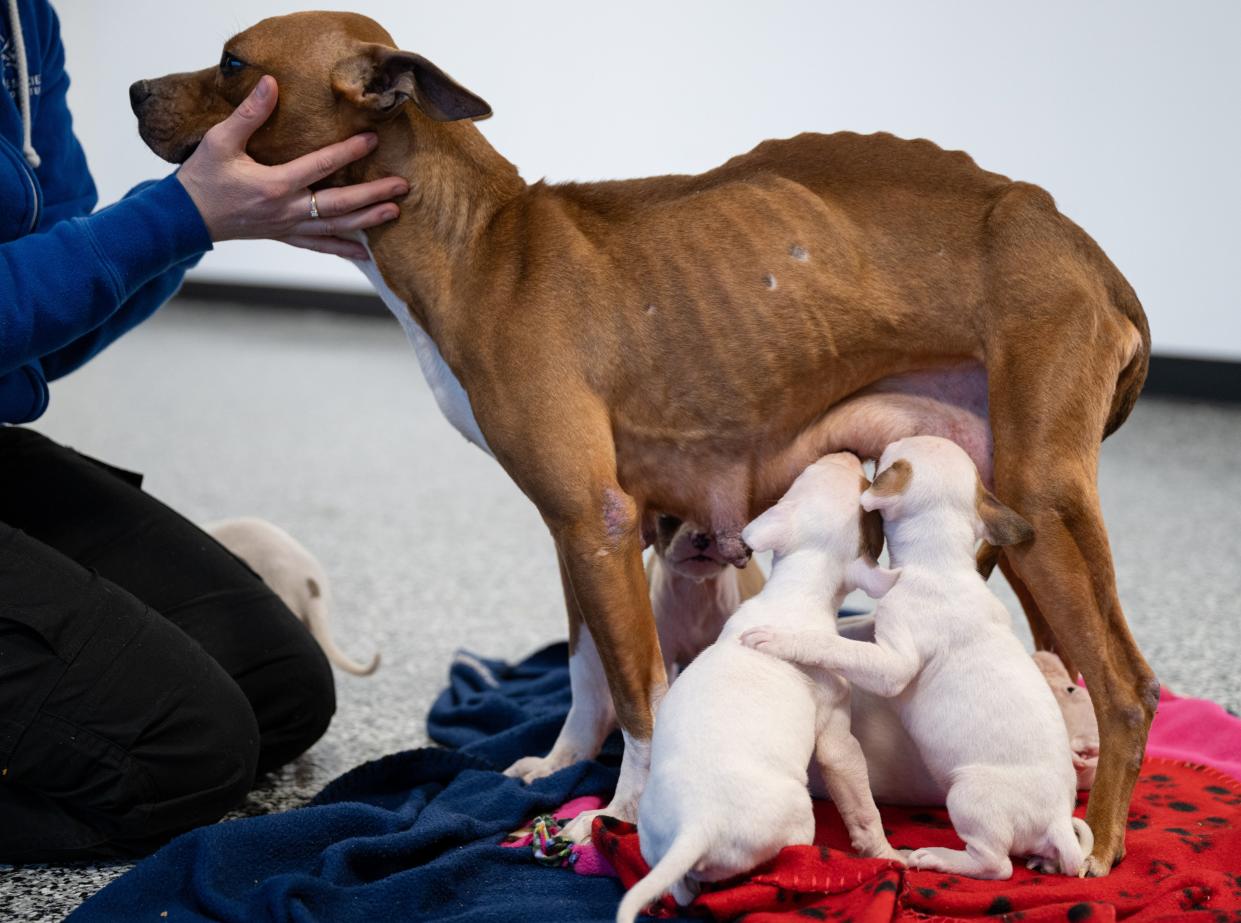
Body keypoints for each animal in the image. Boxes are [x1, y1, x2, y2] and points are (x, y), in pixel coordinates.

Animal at [618, 454, 903, 923]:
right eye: (863, 489)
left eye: (805, 476)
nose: (844, 453)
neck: (797, 592)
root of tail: (697, 826)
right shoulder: (836, 735)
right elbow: (859, 799)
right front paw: (888, 854)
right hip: (797, 818)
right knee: (785, 849)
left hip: (654, 835)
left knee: (680, 890)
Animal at [744, 436, 1087, 878]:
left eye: (885, 460)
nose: (867, 449)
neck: (939, 565)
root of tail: (1059, 819)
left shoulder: (892, 665)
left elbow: (837, 646)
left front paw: (780, 637)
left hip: (967, 795)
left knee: (995, 865)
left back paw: (938, 857)